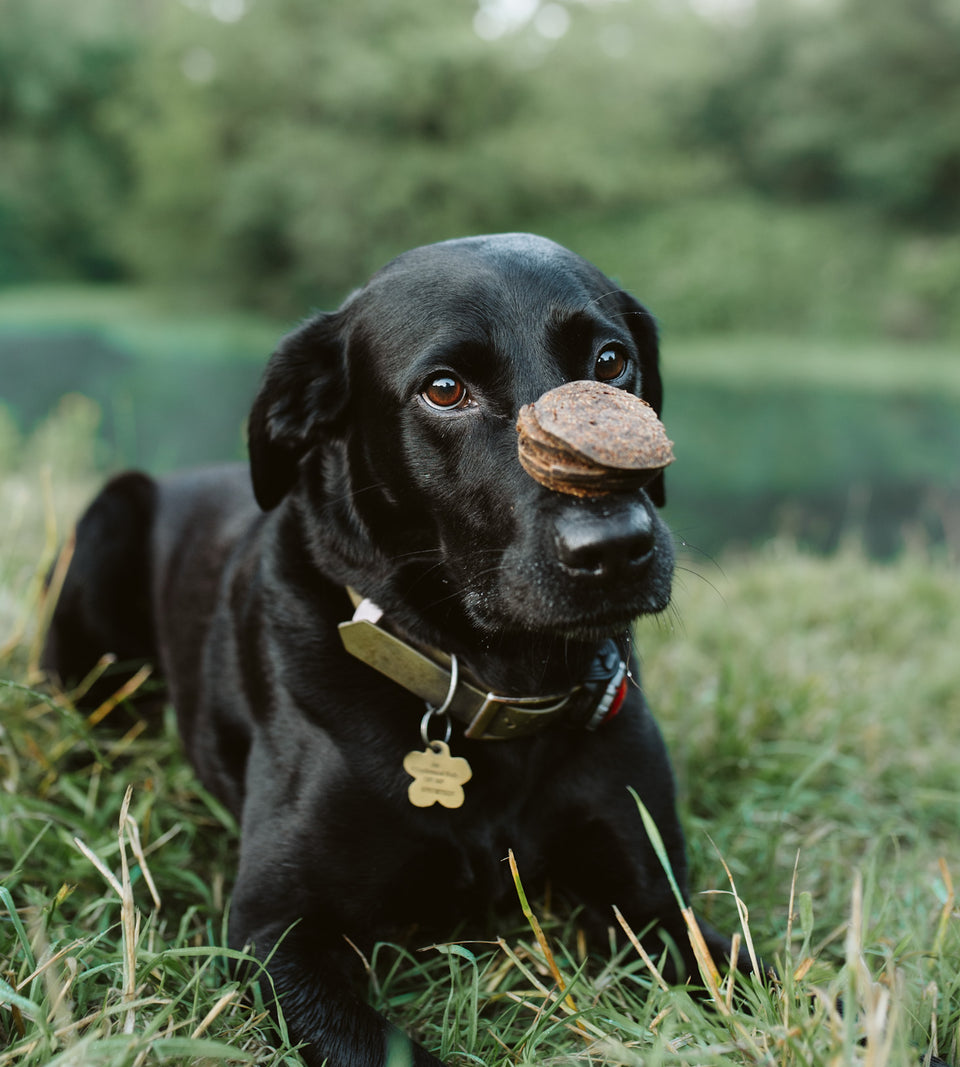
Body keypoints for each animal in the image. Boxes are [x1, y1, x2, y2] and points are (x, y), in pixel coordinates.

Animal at [42, 233, 747, 1066]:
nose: (614, 548)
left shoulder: (651, 899)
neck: (493, 680)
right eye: (444, 389)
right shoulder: (275, 929)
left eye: (610, 362)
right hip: (108, 517)